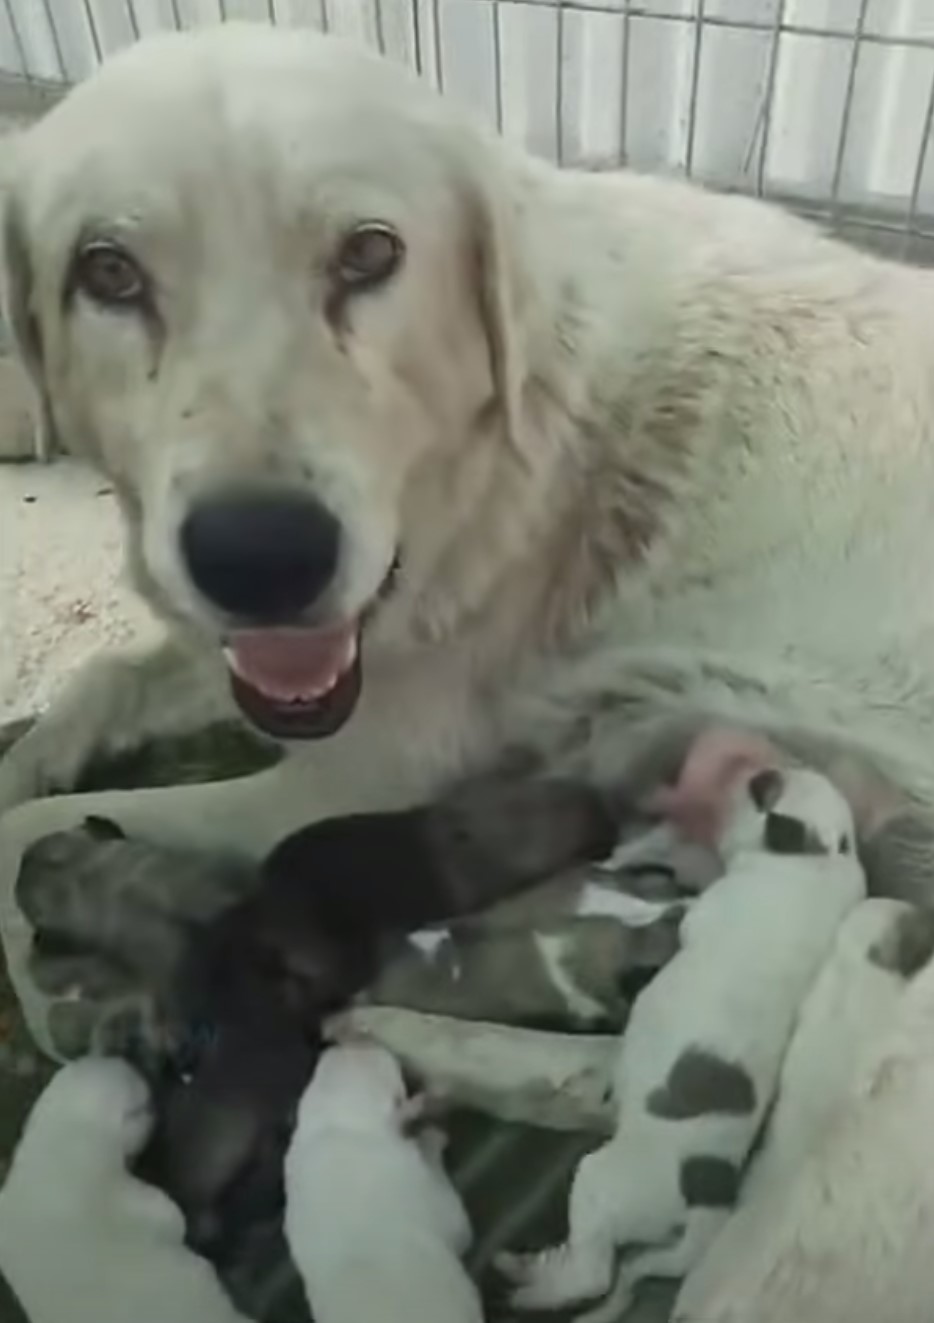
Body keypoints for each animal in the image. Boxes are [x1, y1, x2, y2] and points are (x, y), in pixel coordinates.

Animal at [281, 1042, 481, 1323]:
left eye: (314, 1079)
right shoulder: (440, 1206)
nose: (353, 1042)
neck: (338, 1124)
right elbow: (460, 1228)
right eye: (394, 1091)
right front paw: (431, 1139)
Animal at [497, 767, 862, 1312]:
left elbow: (685, 913)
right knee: (631, 1269)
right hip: (660, 1244)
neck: (818, 858)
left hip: (599, 1181)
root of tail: (705, 1198)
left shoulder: (705, 911)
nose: (756, 769)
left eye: (763, 789)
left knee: (593, 1270)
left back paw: (533, 1285)